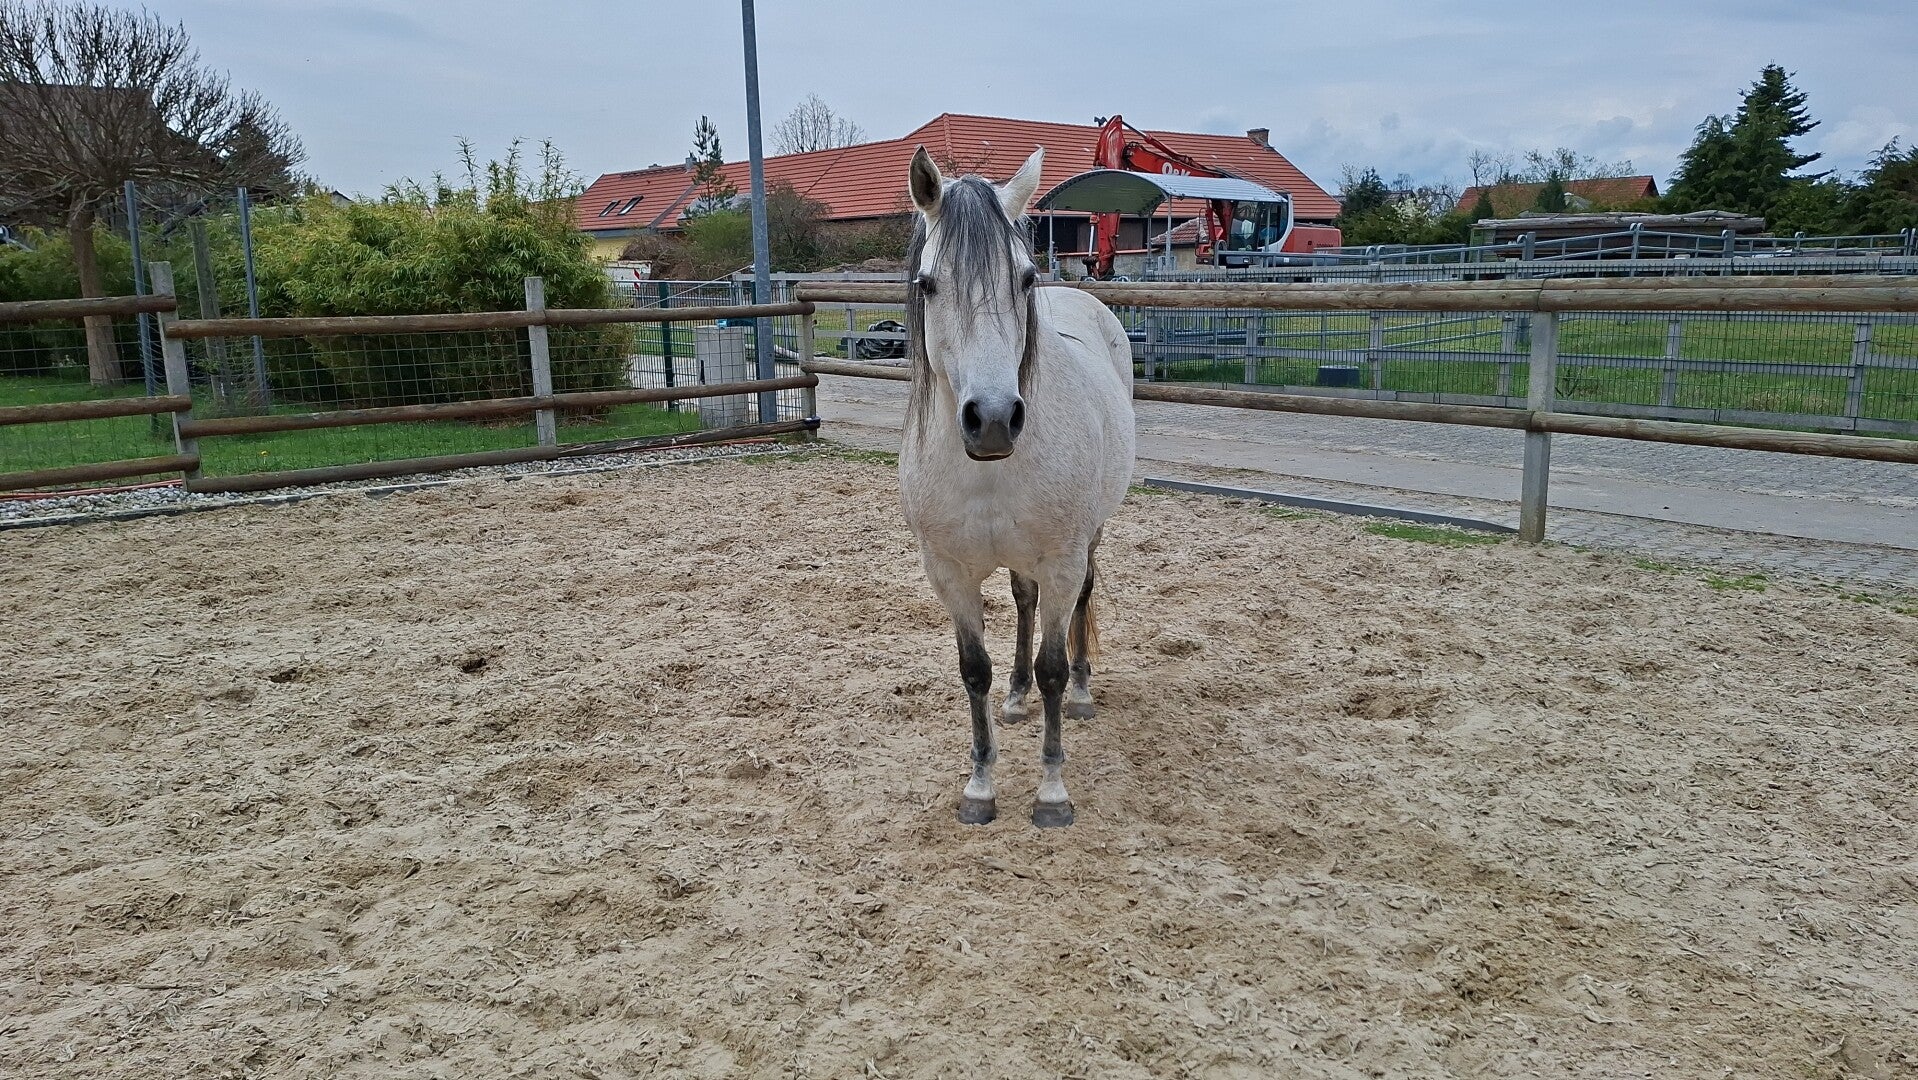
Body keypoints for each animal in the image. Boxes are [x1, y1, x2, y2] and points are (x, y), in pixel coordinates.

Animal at [897, 146, 1137, 829]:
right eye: (928, 284)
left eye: (1025, 279)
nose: (995, 418)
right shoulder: (948, 571)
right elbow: (972, 669)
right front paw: (980, 787)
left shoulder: (1061, 559)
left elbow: (1053, 663)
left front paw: (1052, 794)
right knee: (1024, 603)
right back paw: (1015, 695)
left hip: (1089, 538)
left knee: (1081, 602)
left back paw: (1081, 692)